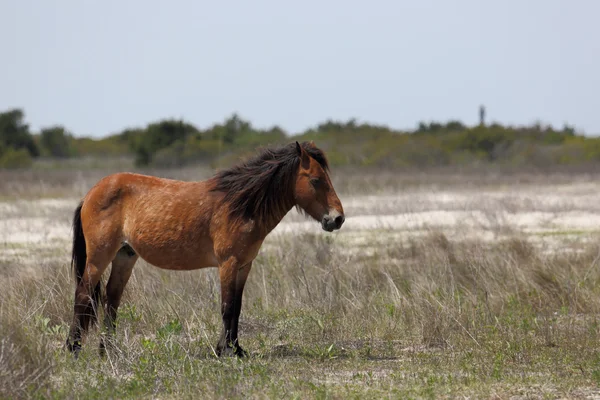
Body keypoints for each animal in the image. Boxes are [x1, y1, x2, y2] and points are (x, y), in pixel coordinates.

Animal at [65, 141, 342, 360]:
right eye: (316, 180)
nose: (337, 219)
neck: (240, 206)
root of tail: (91, 193)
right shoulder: (228, 263)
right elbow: (227, 306)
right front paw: (224, 351)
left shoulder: (244, 265)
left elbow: (237, 307)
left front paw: (237, 349)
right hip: (99, 258)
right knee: (83, 295)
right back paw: (74, 349)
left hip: (125, 256)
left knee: (112, 299)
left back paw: (109, 351)